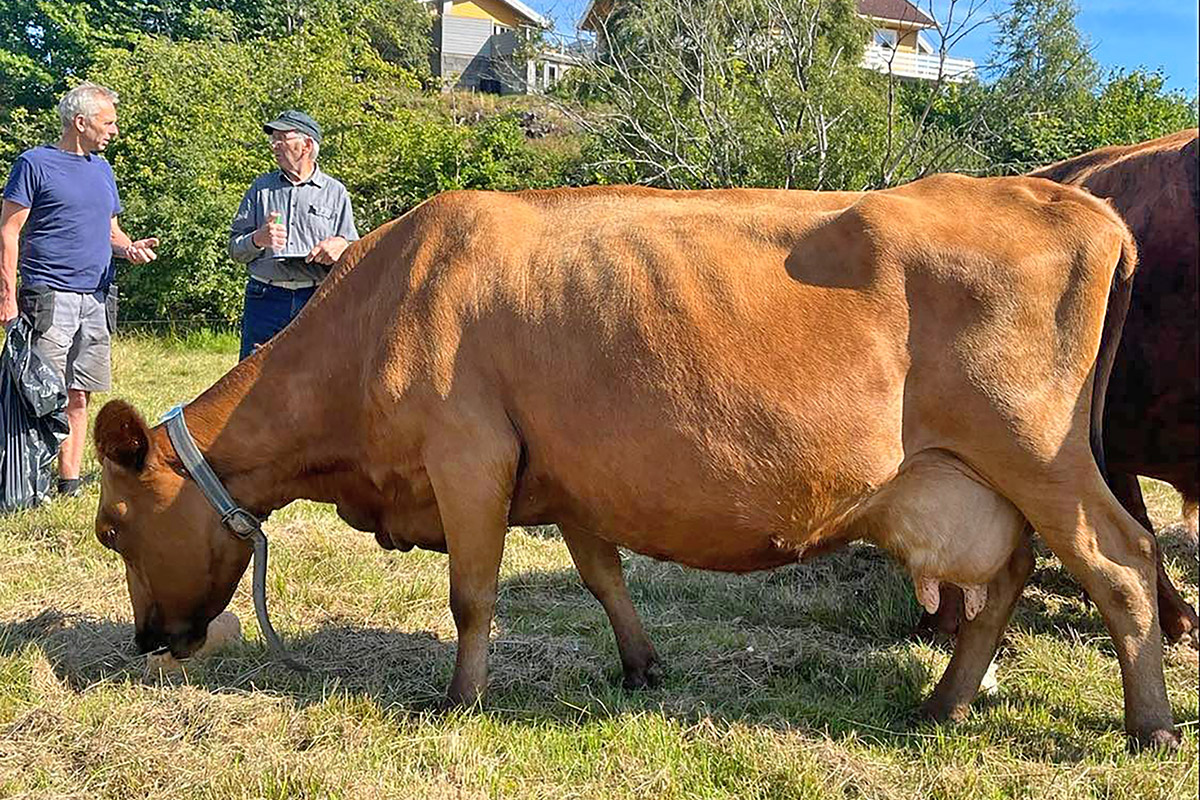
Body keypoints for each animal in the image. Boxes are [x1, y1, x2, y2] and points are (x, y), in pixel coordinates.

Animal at [93, 175, 1180, 753]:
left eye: (110, 527)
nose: (149, 642)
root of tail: (1075, 201)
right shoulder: (565, 469)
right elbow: (601, 572)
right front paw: (642, 664)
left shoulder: (469, 452)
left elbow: (472, 594)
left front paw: (458, 699)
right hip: (980, 474)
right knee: (1009, 576)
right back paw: (946, 700)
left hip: (1036, 450)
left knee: (1123, 563)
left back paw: (1152, 725)